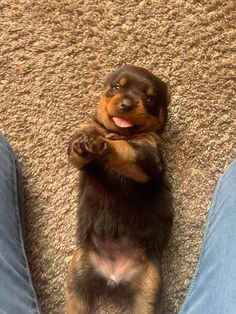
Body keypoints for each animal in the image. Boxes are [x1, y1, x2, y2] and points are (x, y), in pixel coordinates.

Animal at [65, 65, 172, 312]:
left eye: (151, 99)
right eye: (116, 86)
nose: (126, 104)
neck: (122, 131)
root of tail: (113, 277)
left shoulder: (147, 158)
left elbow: (125, 149)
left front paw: (105, 144)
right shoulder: (85, 134)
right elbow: (78, 145)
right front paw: (87, 143)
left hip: (148, 286)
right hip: (78, 272)